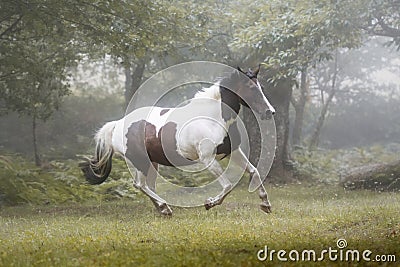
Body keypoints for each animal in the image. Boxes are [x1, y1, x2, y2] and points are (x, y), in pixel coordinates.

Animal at [80, 66, 276, 217]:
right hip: (140, 161)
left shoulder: (233, 152)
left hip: (152, 162)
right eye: (250, 88)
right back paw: (164, 207)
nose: (270, 112)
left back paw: (163, 209)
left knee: (149, 186)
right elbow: (227, 185)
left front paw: (265, 204)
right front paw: (210, 203)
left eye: (261, 87)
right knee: (140, 185)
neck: (213, 117)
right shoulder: (207, 159)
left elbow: (255, 171)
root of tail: (118, 124)